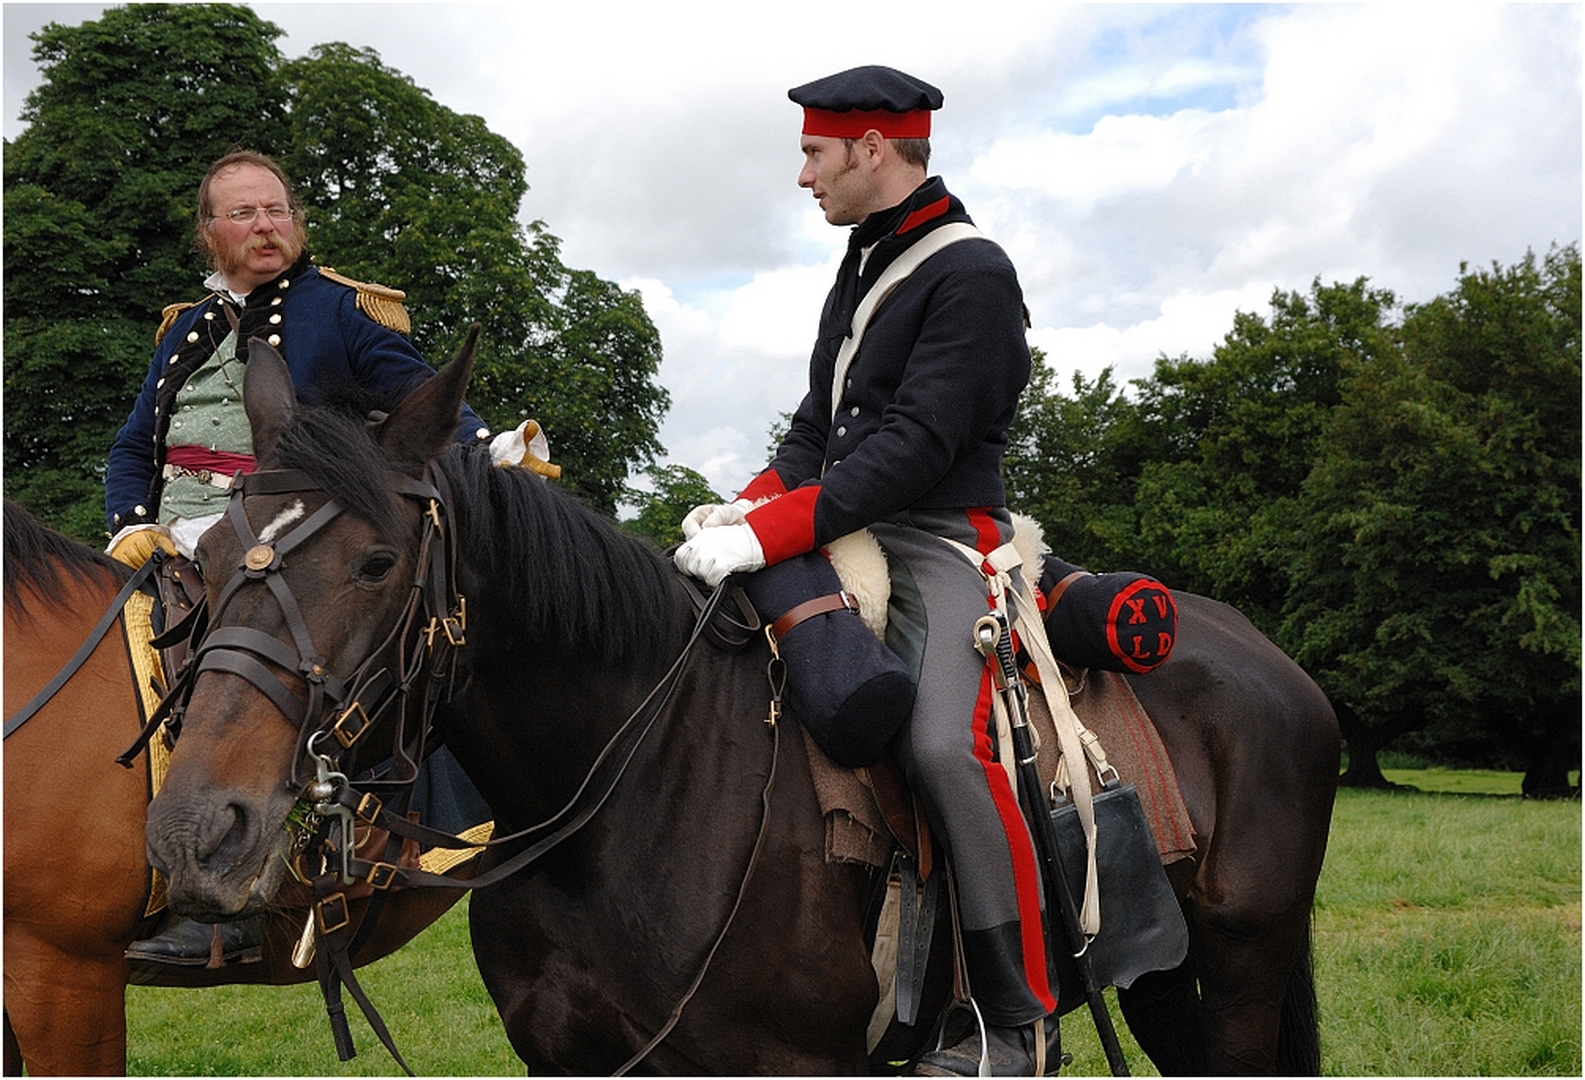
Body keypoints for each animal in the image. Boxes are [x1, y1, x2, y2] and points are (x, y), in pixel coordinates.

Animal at [142, 332, 1340, 1075]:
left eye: (378, 561)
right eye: (205, 563)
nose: (197, 832)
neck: (627, 800)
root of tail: (1269, 660)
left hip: (1241, 971)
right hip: (1164, 976)